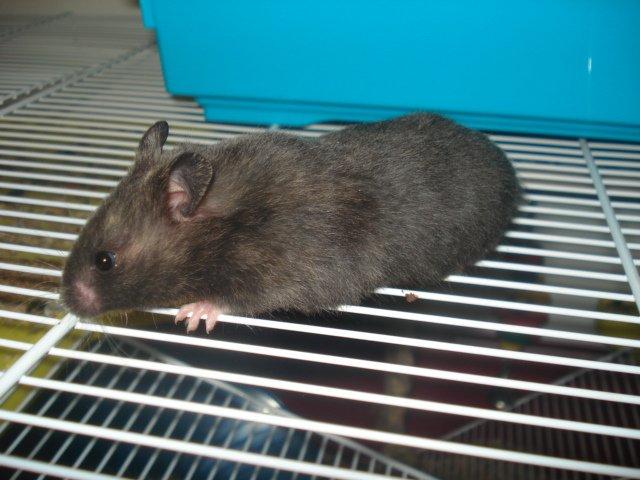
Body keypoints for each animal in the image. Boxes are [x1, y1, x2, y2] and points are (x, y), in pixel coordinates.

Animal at [61, 113, 519, 333]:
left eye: (105, 261)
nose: (66, 304)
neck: (221, 226)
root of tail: (510, 172)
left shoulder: (286, 272)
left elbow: (235, 298)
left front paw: (191, 313)